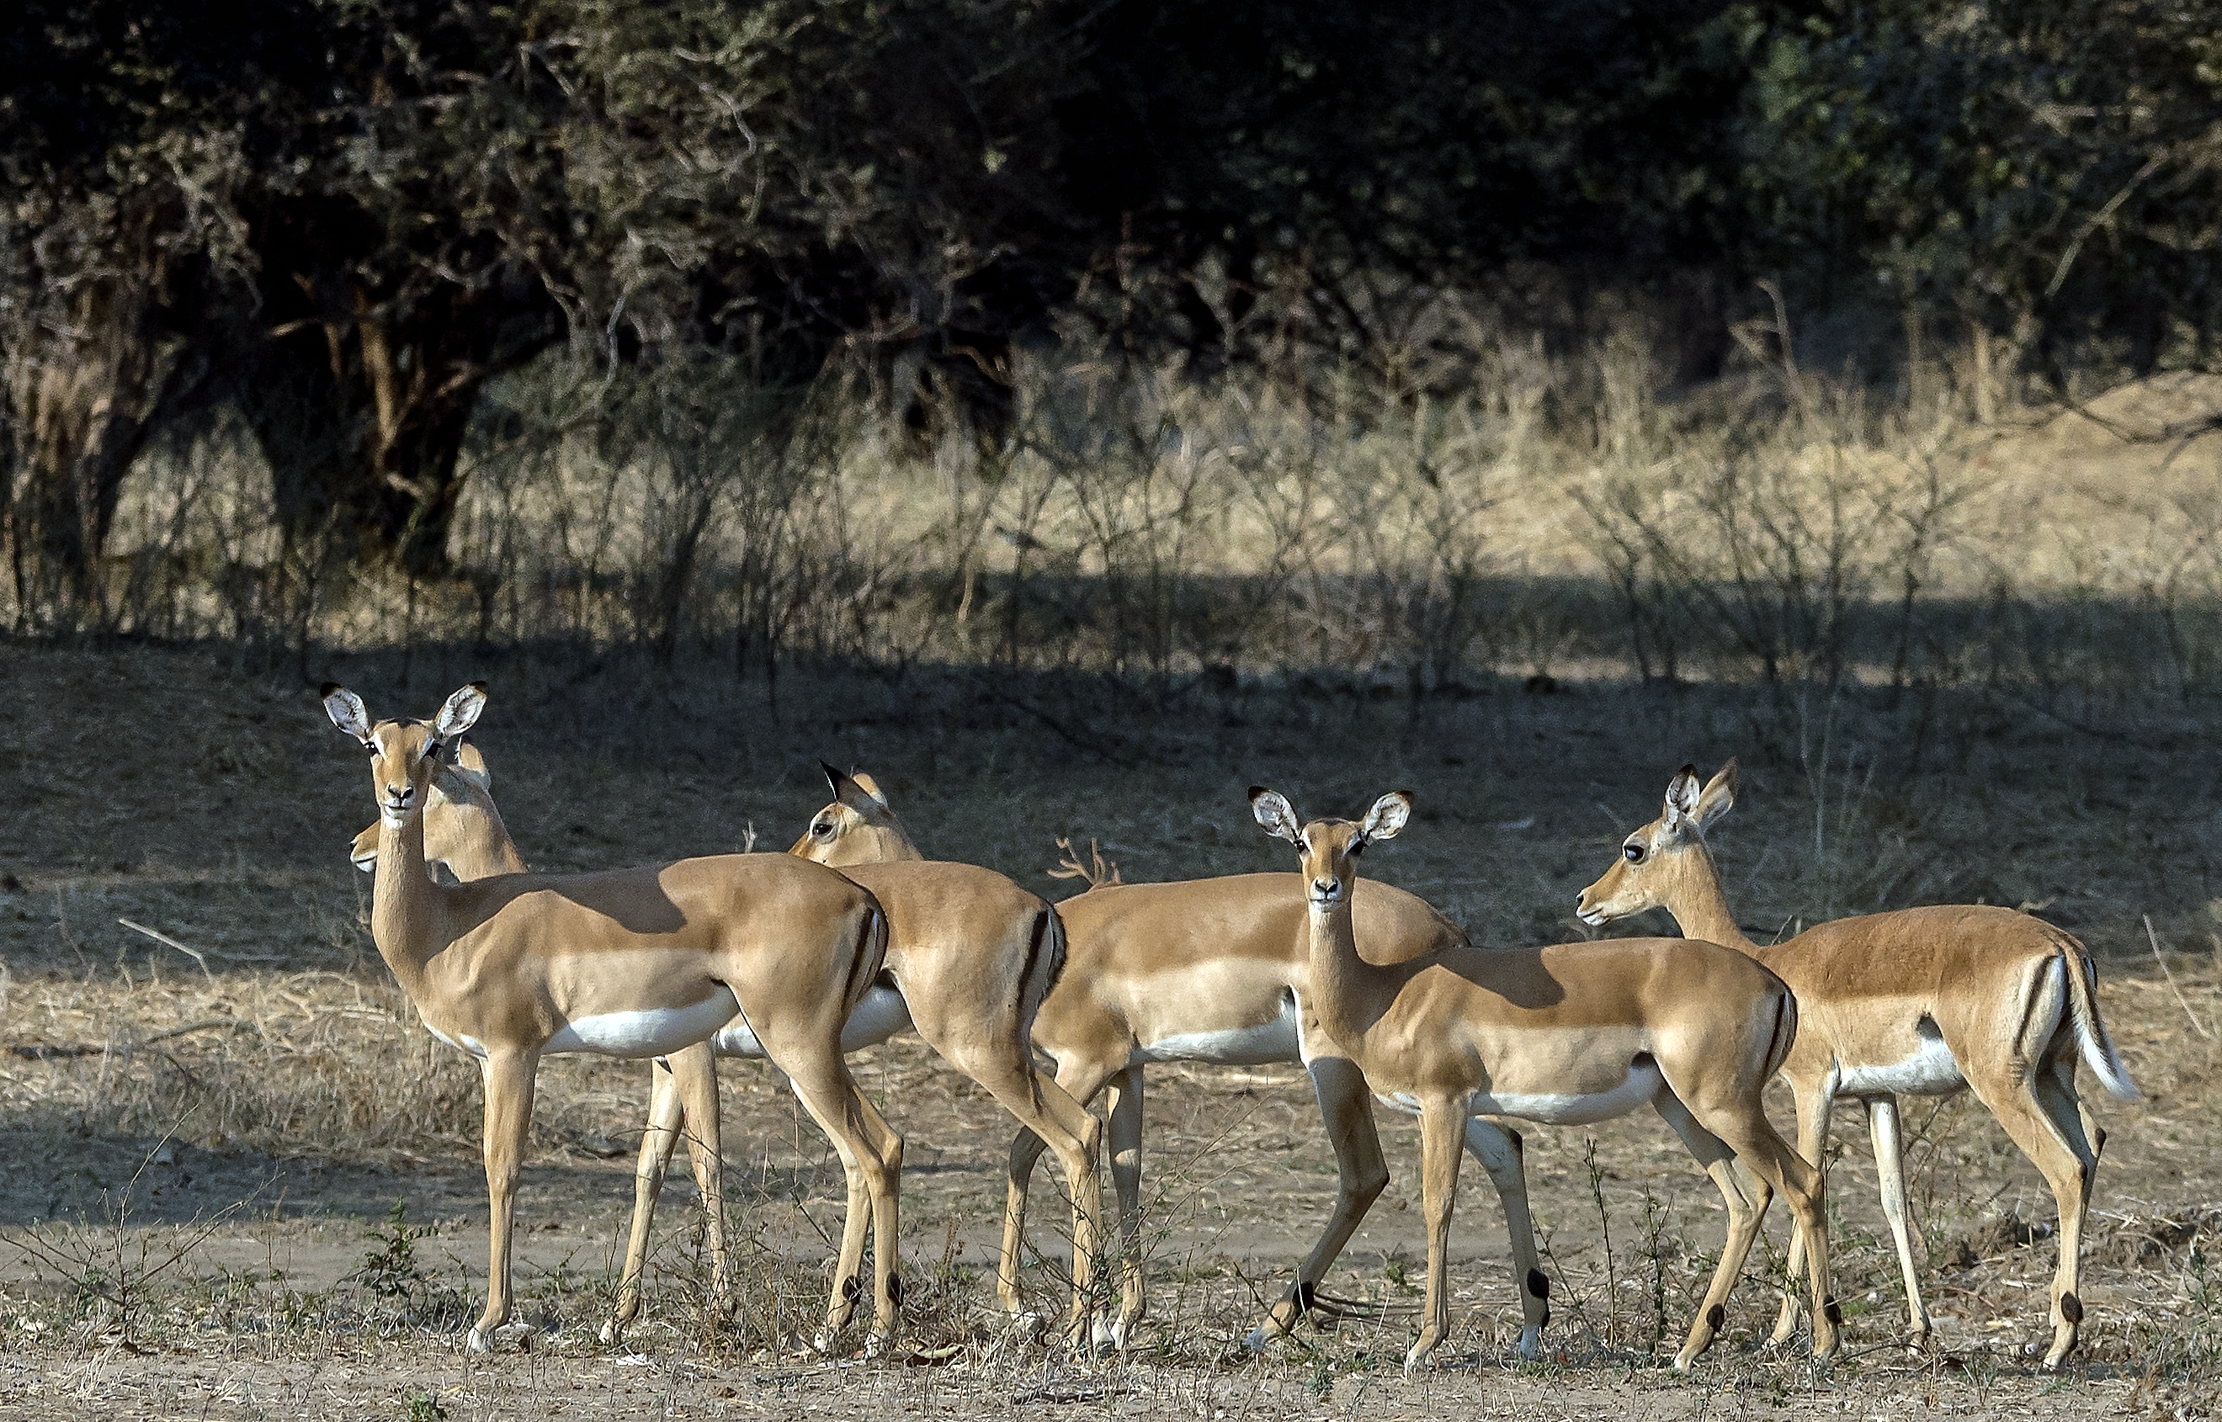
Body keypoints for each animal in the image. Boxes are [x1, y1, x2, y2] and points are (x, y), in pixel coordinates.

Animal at [321, 684, 902, 1352]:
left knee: (877, 1150)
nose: (392, 802)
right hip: (809, 1055)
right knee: (867, 1155)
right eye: (373, 743)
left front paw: (491, 1321)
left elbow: (505, 1168)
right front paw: (616, 1317)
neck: (451, 925)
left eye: (433, 748)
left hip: (801, 1048)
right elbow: (648, 1167)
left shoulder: (516, 1053)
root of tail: (864, 899)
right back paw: (838, 1326)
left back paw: (875, 1330)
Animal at [352, 761, 1107, 1345]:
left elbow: (704, 1163)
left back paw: (1065, 1324)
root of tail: (1041, 908)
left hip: (952, 1051)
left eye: (437, 782)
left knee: (1046, 1139)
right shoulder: (664, 1066)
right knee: (1028, 1142)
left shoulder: (690, 1059)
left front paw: (719, 1304)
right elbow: (648, 1172)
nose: (362, 844)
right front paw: (619, 1318)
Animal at [795, 776, 1553, 1358]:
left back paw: (1270, 1328)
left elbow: (1026, 1152)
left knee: (1366, 1174)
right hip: (1436, 1087)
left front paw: (1035, 1313)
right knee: (1504, 1146)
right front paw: (1117, 1322)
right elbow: (1126, 1166)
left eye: (823, 823)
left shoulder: (1083, 1062)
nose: (795, 869)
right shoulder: (1127, 1071)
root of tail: (1449, 930)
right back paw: (1531, 1328)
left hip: (1338, 1068)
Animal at [1251, 787, 1841, 1371]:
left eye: (1358, 844)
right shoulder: (1459, 1109)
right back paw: (1690, 1348)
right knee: (1749, 1196)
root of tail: (1774, 982)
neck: (1383, 995)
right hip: (1683, 1108)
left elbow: (1437, 1203)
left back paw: (1823, 1343)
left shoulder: (1444, 1103)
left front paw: (1424, 1343)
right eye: (1303, 842)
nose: (1326, 887)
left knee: (1804, 1181)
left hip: (1725, 1106)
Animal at [1576, 761, 2139, 1367]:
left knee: (2067, 1169)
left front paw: (1786, 1334)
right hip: (2052, 1075)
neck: (1769, 964)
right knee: (2093, 1141)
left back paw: (2058, 1345)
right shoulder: (1878, 1096)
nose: (1585, 899)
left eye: (1634, 848)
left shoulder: (1811, 1087)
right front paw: (1917, 1331)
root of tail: (2060, 943)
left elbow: (1809, 1181)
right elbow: (1892, 1199)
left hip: (2003, 1084)